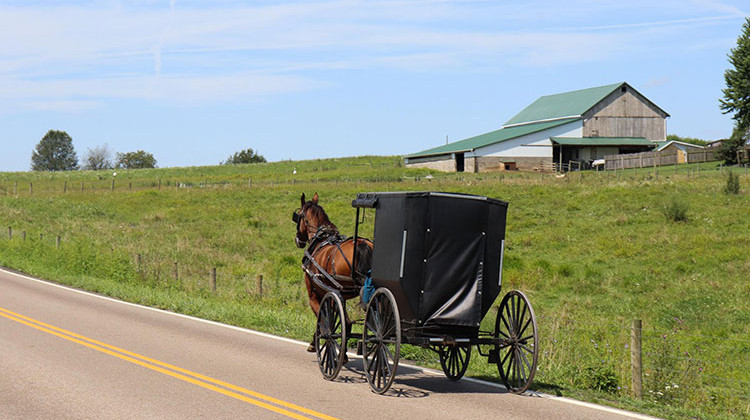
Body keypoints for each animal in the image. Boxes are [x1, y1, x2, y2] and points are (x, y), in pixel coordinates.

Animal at [296, 194, 374, 352]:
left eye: (298, 215)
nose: (298, 240)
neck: (321, 238)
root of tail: (362, 244)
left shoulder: (316, 296)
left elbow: (323, 321)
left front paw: (315, 342)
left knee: (346, 323)